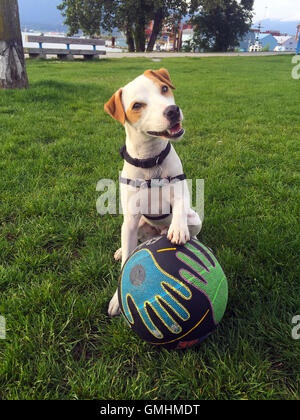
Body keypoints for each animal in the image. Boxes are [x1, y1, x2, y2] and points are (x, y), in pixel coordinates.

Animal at [103, 67, 202, 316]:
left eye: (164, 88)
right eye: (137, 105)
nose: (172, 111)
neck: (151, 159)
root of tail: (158, 232)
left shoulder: (180, 189)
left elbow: (179, 204)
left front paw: (178, 229)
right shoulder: (130, 219)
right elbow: (126, 263)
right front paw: (117, 299)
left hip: (195, 218)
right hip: (136, 226)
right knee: (132, 242)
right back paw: (121, 249)